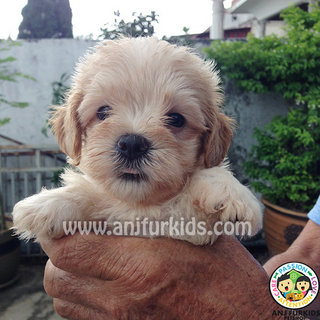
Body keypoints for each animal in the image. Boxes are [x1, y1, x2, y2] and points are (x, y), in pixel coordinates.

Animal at [12, 36, 262, 244]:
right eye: (102, 112)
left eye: (176, 119)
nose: (132, 144)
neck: (140, 206)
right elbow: (88, 196)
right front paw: (46, 204)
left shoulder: (190, 228)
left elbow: (212, 174)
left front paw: (232, 192)